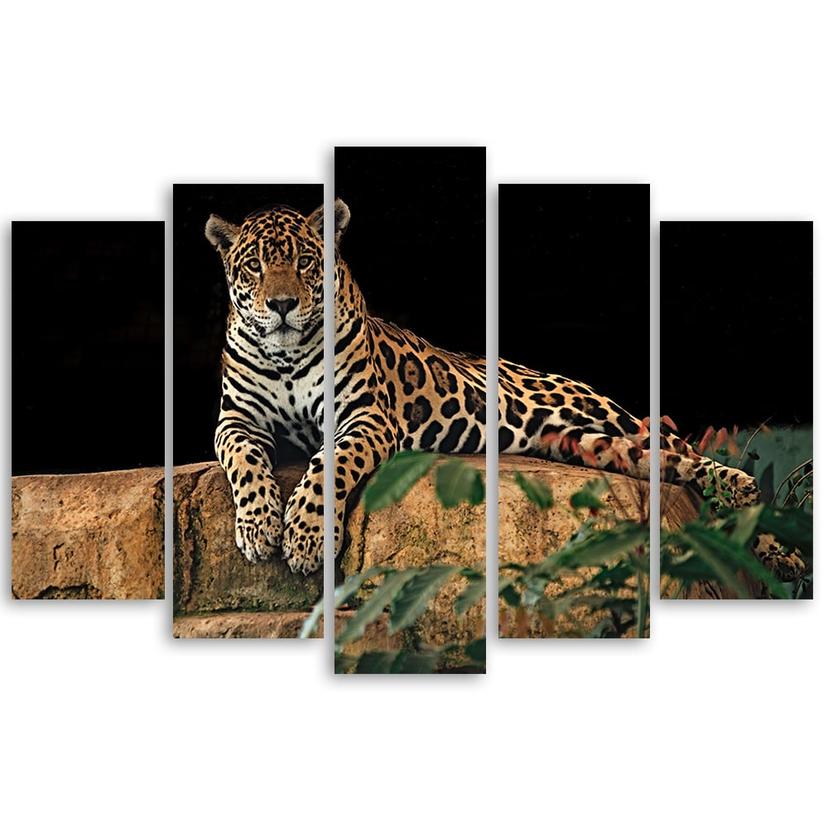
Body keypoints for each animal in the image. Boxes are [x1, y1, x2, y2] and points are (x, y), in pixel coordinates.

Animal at [205, 199, 804, 584]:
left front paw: (305, 538)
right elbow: (243, 460)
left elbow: (329, 465)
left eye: (305, 262)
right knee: (670, 466)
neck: (285, 356)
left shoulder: (365, 417)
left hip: (606, 413)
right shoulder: (235, 419)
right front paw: (258, 527)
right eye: (254, 266)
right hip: (587, 444)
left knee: (689, 452)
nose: (282, 304)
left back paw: (771, 534)